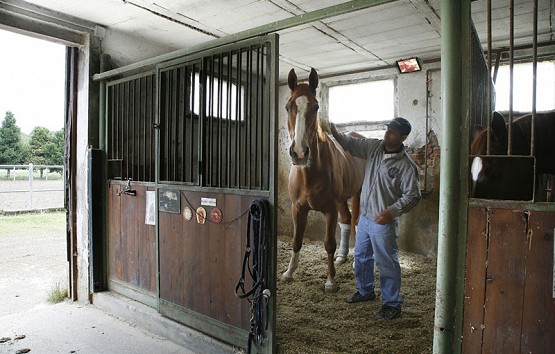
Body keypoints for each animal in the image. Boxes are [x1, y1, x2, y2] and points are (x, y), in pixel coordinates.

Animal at [280, 67, 368, 294]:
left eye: (316, 106)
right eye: (288, 106)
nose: (299, 153)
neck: (308, 173)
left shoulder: (330, 209)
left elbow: (329, 243)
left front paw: (330, 281)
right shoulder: (297, 208)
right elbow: (296, 241)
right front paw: (288, 273)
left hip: (357, 194)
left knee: (355, 222)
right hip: (342, 199)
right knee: (346, 220)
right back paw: (342, 257)